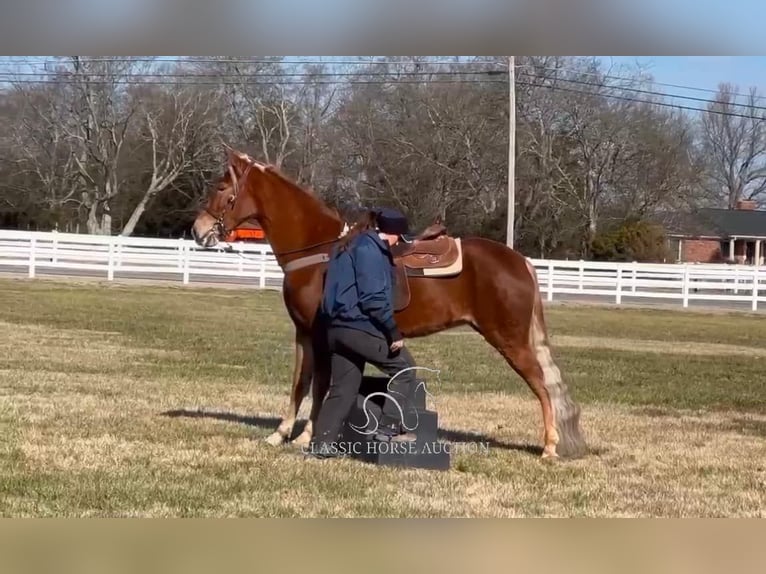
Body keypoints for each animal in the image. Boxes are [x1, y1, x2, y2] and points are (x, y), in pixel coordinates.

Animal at [192, 148, 588, 460]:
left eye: (221, 188)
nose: (198, 230)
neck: (319, 250)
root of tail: (520, 262)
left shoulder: (321, 335)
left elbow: (320, 386)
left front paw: (305, 437)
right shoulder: (303, 333)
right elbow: (300, 383)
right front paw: (280, 433)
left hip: (510, 340)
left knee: (542, 386)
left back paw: (550, 447)